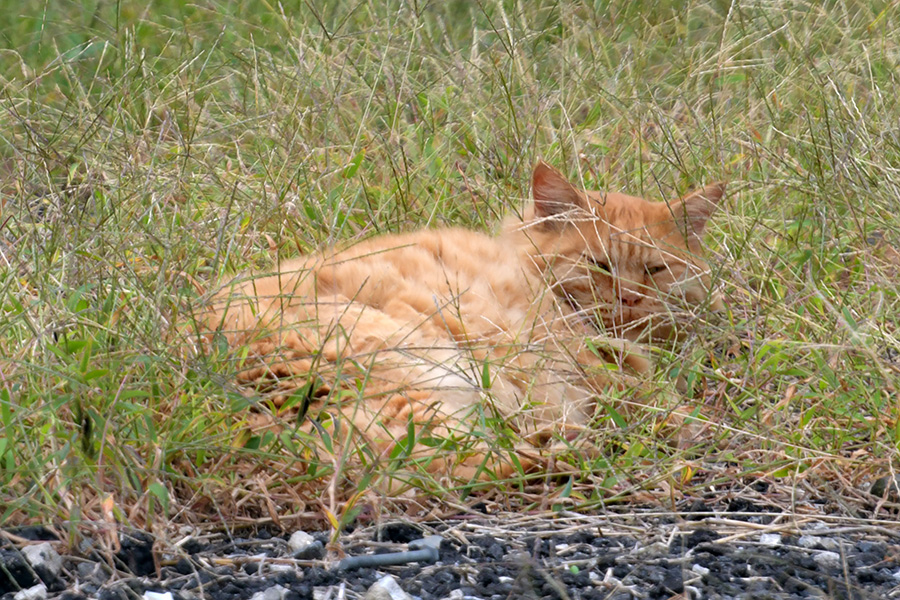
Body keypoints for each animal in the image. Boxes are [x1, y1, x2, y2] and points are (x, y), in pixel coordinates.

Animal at [204, 164, 724, 482]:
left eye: (656, 270)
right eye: (599, 265)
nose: (630, 298)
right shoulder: (590, 365)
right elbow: (665, 403)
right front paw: (693, 427)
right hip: (420, 376)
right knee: (461, 464)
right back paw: (573, 449)